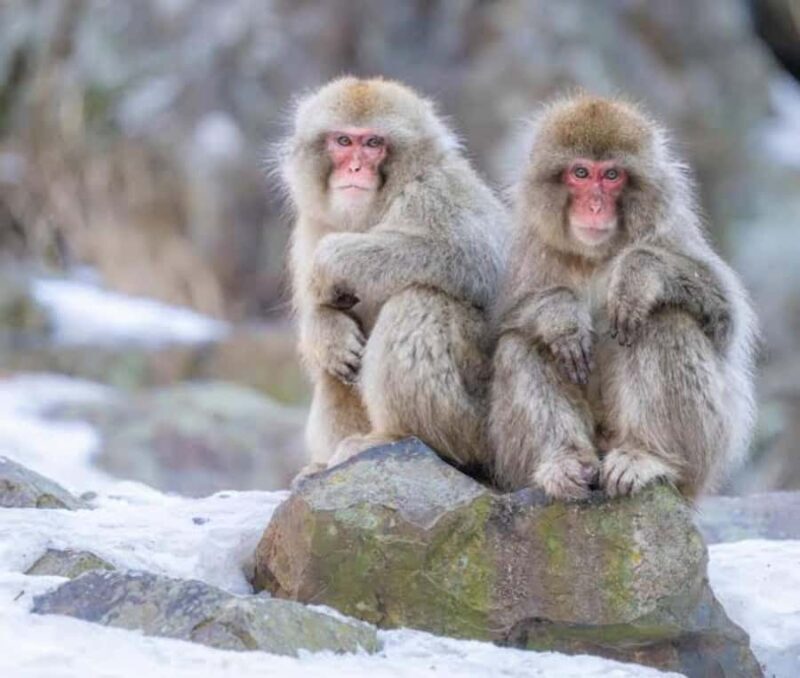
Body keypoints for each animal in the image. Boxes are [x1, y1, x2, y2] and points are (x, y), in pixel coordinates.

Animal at [280, 76, 509, 476]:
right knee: (332, 372)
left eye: (374, 143)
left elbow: (482, 261)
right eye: (344, 141)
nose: (355, 169)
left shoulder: (435, 191)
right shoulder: (313, 224)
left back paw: (397, 436)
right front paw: (325, 330)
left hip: (484, 422)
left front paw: (333, 260)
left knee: (419, 300)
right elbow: (322, 314)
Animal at [489, 94, 757, 501]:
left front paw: (638, 274)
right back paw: (565, 460)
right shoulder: (530, 246)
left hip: (705, 456)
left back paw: (646, 454)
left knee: (664, 319)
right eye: (581, 173)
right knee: (521, 344)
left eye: (612, 176)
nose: (595, 205)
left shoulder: (670, 229)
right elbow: (502, 323)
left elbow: (724, 314)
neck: (596, 254)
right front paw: (559, 316)